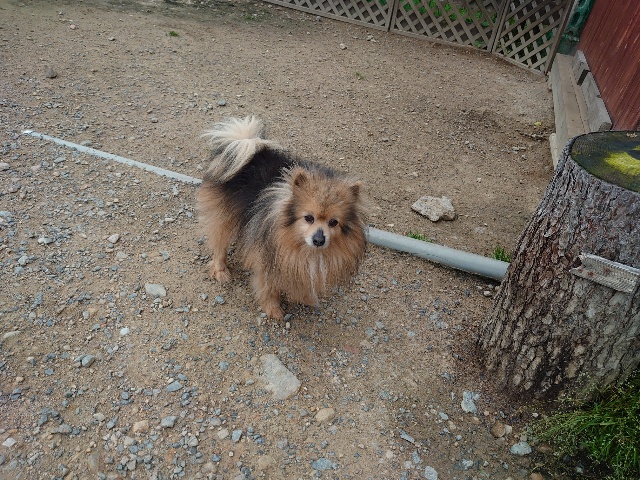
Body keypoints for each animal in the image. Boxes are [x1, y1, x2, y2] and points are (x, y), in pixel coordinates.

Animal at [197, 116, 367, 319]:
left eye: (333, 222)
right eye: (308, 218)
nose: (318, 239)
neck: (301, 246)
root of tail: (246, 147)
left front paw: (305, 297)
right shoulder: (266, 257)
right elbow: (268, 285)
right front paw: (273, 308)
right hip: (224, 215)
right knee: (219, 244)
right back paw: (220, 270)